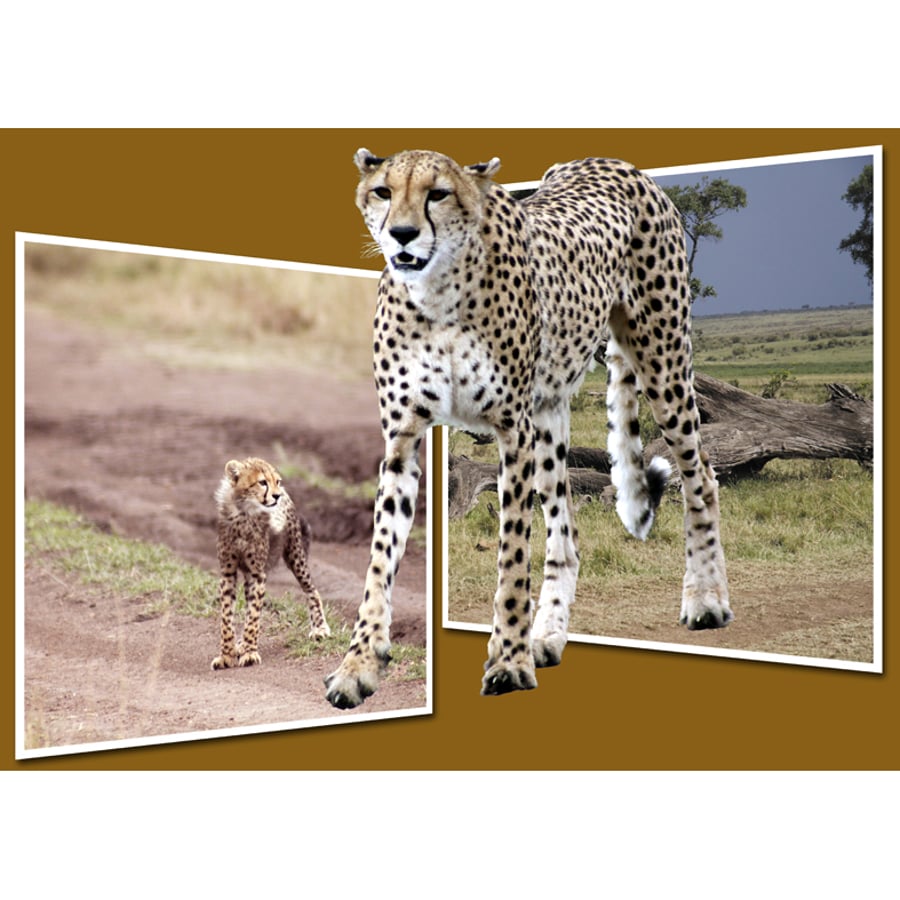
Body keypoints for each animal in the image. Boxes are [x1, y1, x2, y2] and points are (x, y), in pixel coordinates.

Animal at [211, 457, 330, 671]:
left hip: (295, 554)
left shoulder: (257, 573)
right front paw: (227, 654)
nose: (277, 495)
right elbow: (226, 618)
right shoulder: (228, 572)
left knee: (311, 589)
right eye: (262, 482)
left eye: (277, 481)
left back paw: (320, 628)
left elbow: (253, 617)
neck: (244, 513)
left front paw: (250, 652)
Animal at [324, 148, 731, 709]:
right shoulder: (402, 440)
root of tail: (614, 161)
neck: (437, 294)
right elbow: (380, 559)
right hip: (551, 412)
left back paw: (706, 600)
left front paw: (508, 663)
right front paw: (358, 665)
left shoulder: (510, 431)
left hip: (663, 365)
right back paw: (547, 635)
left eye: (438, 193)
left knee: (702, 477)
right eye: (383, 191)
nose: (402, 234)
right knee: (567, 532)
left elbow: (512, 558)